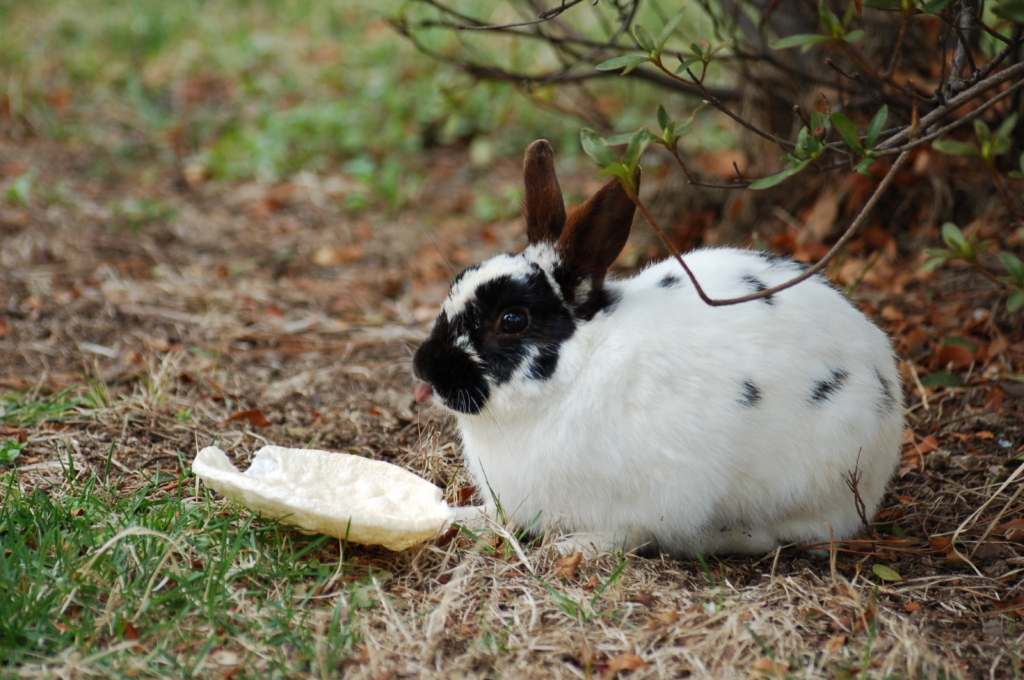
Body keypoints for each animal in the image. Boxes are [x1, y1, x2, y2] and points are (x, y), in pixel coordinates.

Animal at [409, 139, 905, 557]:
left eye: (513, 320)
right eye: (456, 282)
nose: (424, 368)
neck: (575, 372)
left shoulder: (656, 495)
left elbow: (628, 532)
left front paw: (574, 548)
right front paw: (459, 515)